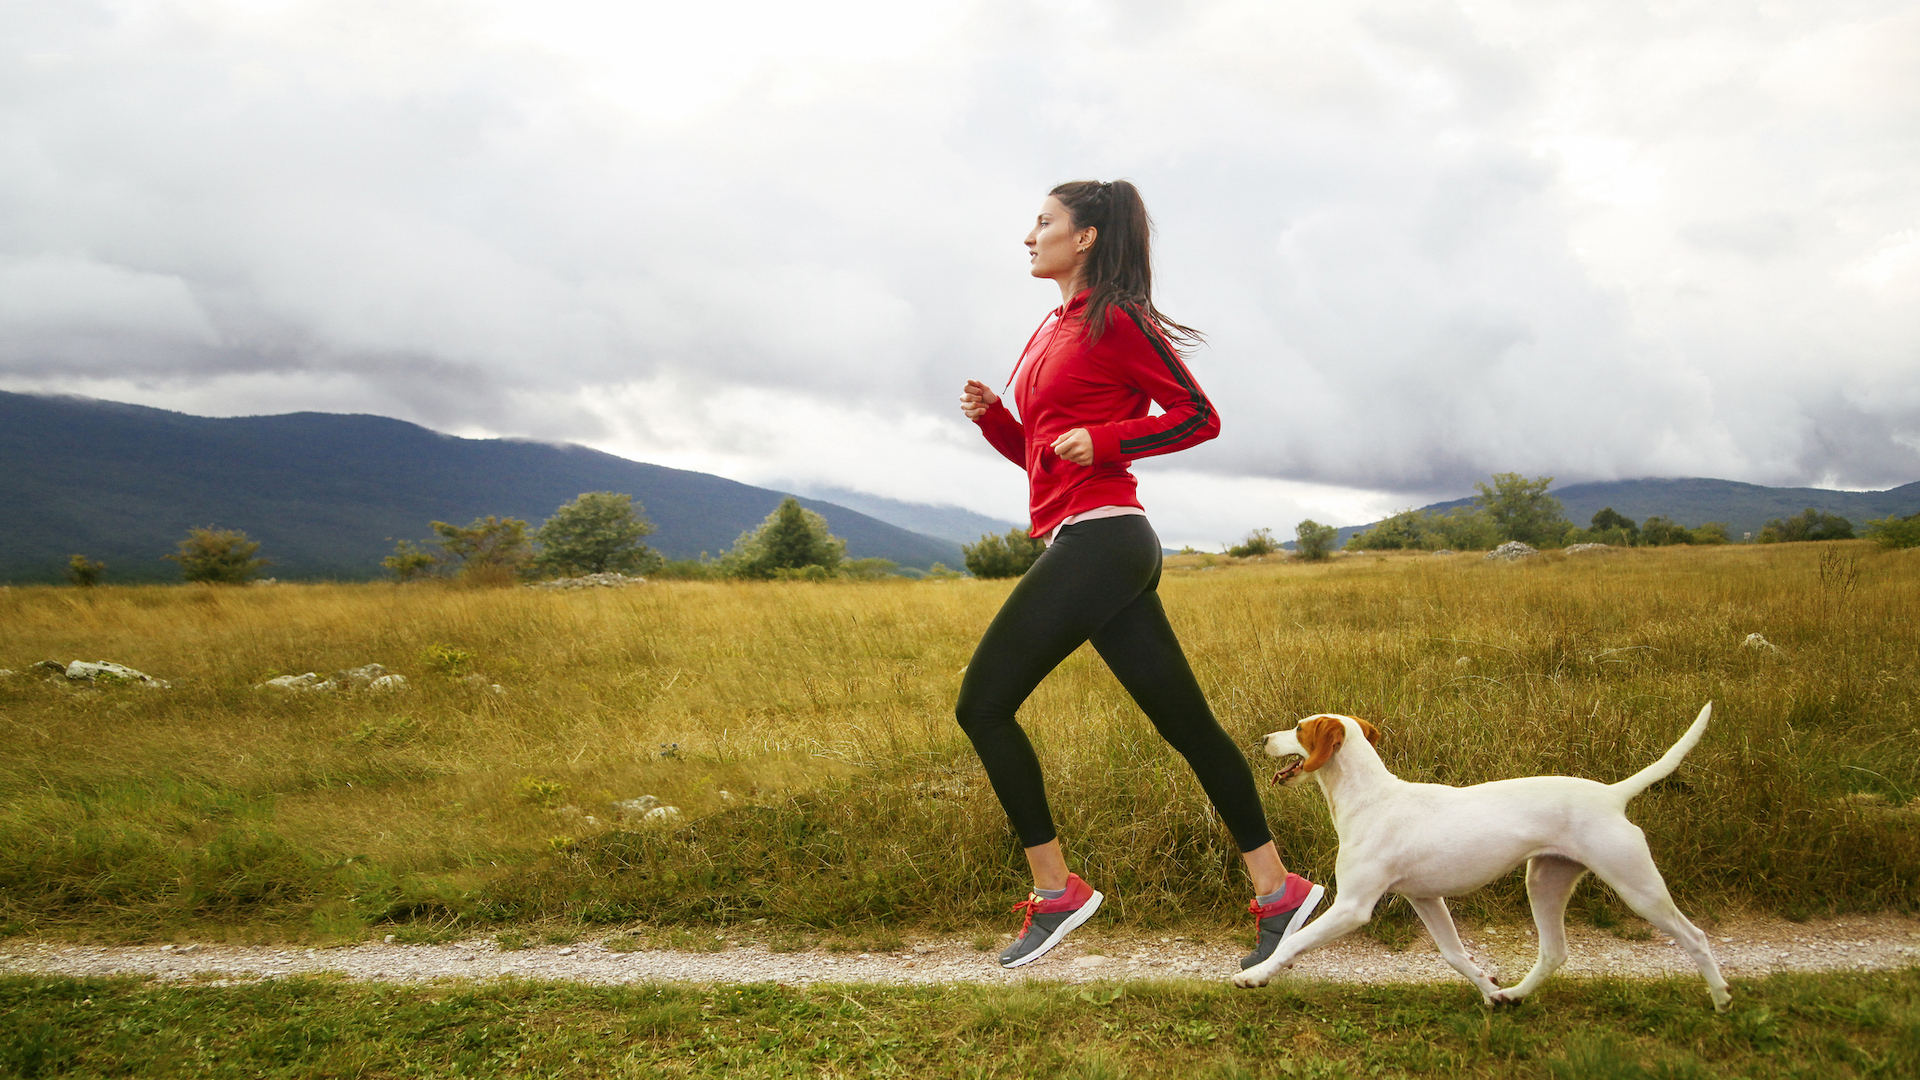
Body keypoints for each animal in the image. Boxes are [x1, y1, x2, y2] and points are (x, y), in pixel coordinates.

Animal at [1236, 703, 1735, 1006]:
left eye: (1299, 729)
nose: (1262, 738)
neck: (1371, 798)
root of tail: (1612, 795)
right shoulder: (1426, 899)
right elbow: (1456, 954)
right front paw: (1489, 991)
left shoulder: (1352, 907)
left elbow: (1295, 939)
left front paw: (1256, 976)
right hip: (1545, 881)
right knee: (1554, 952)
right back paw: (1514, 995)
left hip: (1637, 885)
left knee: (1694, 936)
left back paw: (1721, 997)